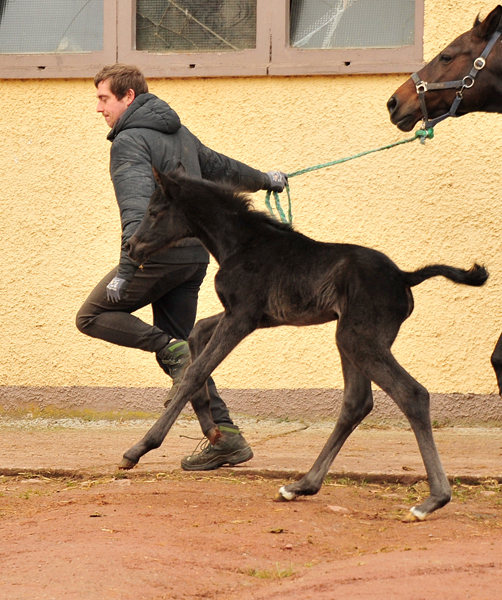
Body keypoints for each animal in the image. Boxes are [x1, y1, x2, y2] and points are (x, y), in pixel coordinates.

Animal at [123, 169, 488, 520]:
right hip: (352, 338)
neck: (242, 243)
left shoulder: (242, 315)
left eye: (154, 212)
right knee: (357, 402)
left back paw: (432, 501)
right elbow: (197, 335)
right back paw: (301, 486)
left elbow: (197, 370)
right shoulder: (255, 316)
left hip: (358, 339)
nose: (132, 247)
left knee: (412, 393)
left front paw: (139, 448)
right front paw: (213, 432)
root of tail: (403, 276)